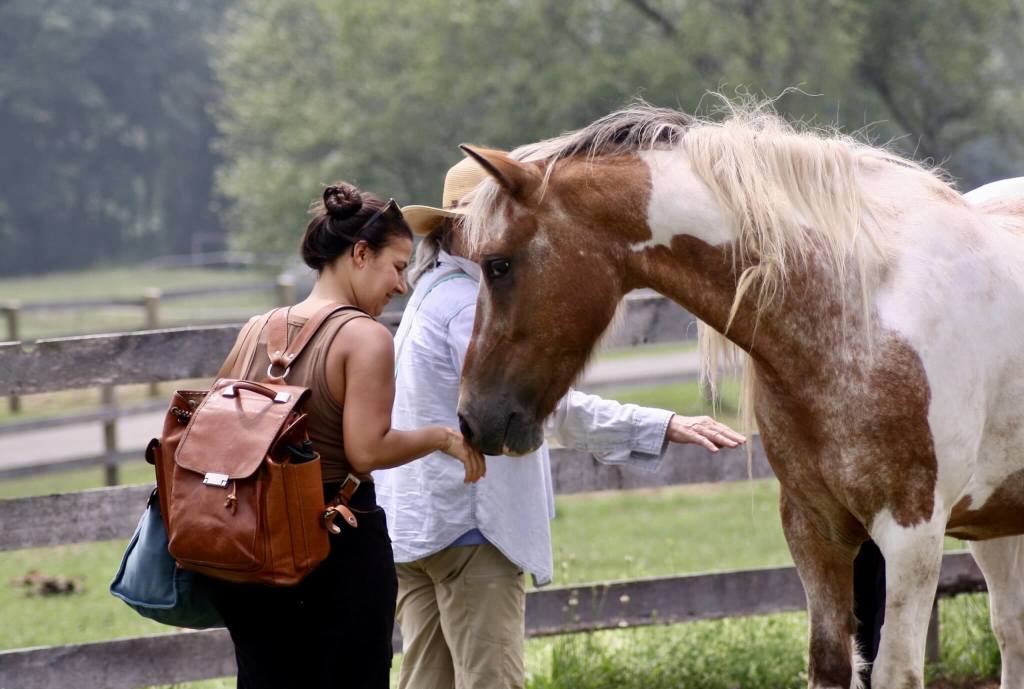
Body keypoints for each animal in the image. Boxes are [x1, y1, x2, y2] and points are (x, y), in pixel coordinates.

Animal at [453, 103, 1024, 689]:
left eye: (497, 264)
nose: (472, 418)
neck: (861, 313)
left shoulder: (912, 536)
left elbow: (896, 671)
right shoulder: (814, 530)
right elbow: (829, 662)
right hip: (994, 526)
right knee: (1011, 630)